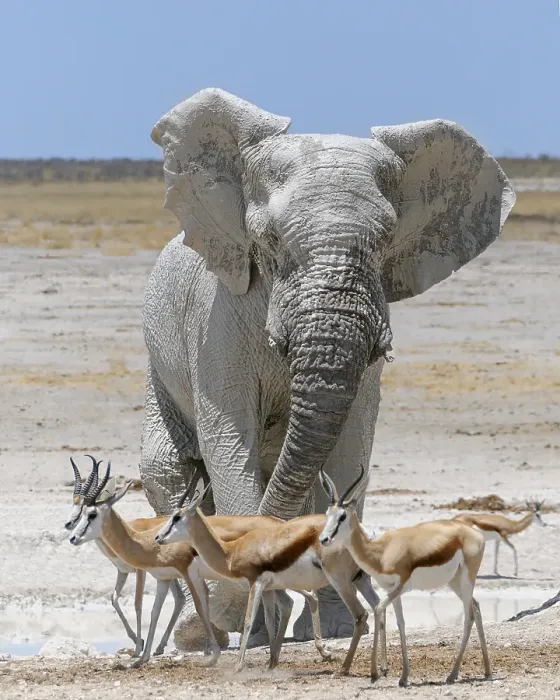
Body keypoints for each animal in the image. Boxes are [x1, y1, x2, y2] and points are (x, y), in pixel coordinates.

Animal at [140, 87, 515, 649]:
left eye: (385, 241)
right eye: (270, 240)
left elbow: (351, 446)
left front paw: (334, 627)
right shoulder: (217, 323)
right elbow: (229, 440)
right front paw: (244, 626)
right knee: (165, 467)